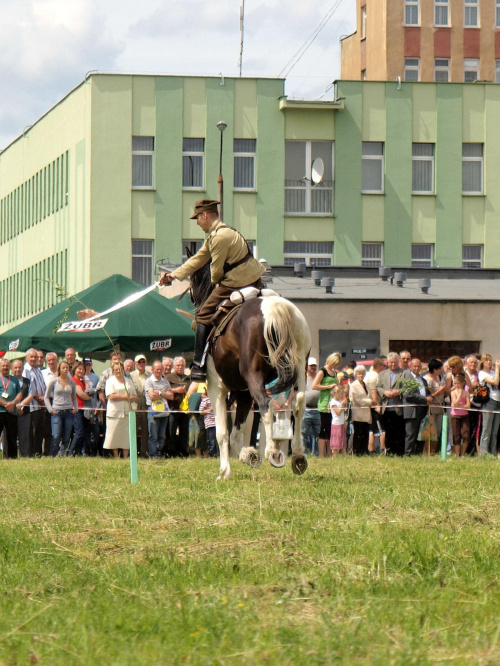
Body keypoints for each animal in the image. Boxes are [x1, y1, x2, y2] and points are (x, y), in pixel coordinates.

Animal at [189, 256, 310, 480]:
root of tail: (274, 309)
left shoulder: (217, 389)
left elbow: (222, 433)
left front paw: (224, 471)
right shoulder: (243, 392)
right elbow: (236, 433)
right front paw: (249, 455)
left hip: (255, 377)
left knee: (266, 404)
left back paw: (272, 452)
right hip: (300, 370)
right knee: (298, 404)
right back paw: (297, 455)